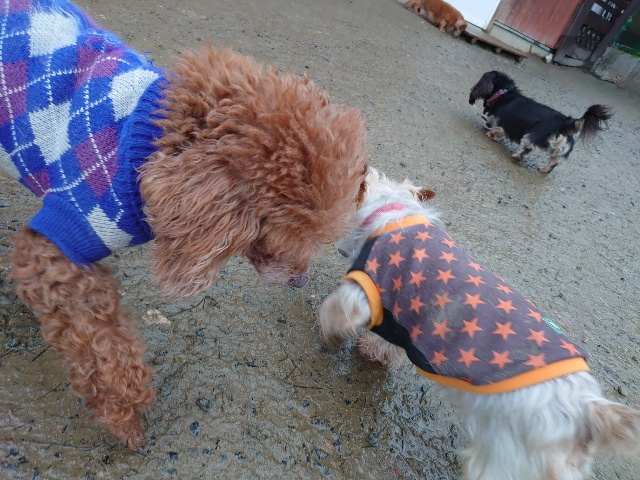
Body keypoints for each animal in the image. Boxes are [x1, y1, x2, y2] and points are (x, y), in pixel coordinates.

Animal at [1, 0, 368, 450]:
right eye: (279, 228)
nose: (300, 281)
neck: (145, 143)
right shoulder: (58, 243)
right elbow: (101, 346)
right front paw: (125, 415)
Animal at [319, 168, 640, 480]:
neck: (390, 211)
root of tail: (586, 410)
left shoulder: (366, 289)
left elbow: (336, 311)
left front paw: (332, 335)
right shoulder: (399, 315)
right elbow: (389, 341)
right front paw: (376, 350)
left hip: (502, 457)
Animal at [469, 70, 613, 173]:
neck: (503, 93)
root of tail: (564, 123)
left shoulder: (502, 121)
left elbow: (496, 127)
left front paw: (490, 133)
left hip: (532, 136)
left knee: (528, 148)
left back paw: (517, 155)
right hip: (560, 152)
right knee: (553, 163)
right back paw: (543, 169)